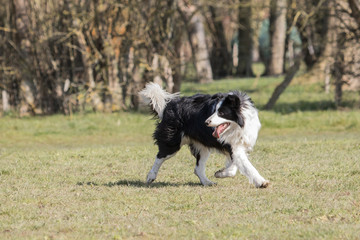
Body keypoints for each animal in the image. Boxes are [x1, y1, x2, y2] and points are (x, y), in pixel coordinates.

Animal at [139, 82, 268, 188]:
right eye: (214, 110)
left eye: (221, 113)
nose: (206, 122)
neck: (238, 126)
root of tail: (167, 107)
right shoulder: (231, 144)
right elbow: (245, 165)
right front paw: (262, 182)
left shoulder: (239, 143)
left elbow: (235, 165)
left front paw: (220, 173)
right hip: (172, 140)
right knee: (160, 156)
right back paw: (150, 177)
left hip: (202, 145)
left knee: (198, 168)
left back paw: (207, 182)